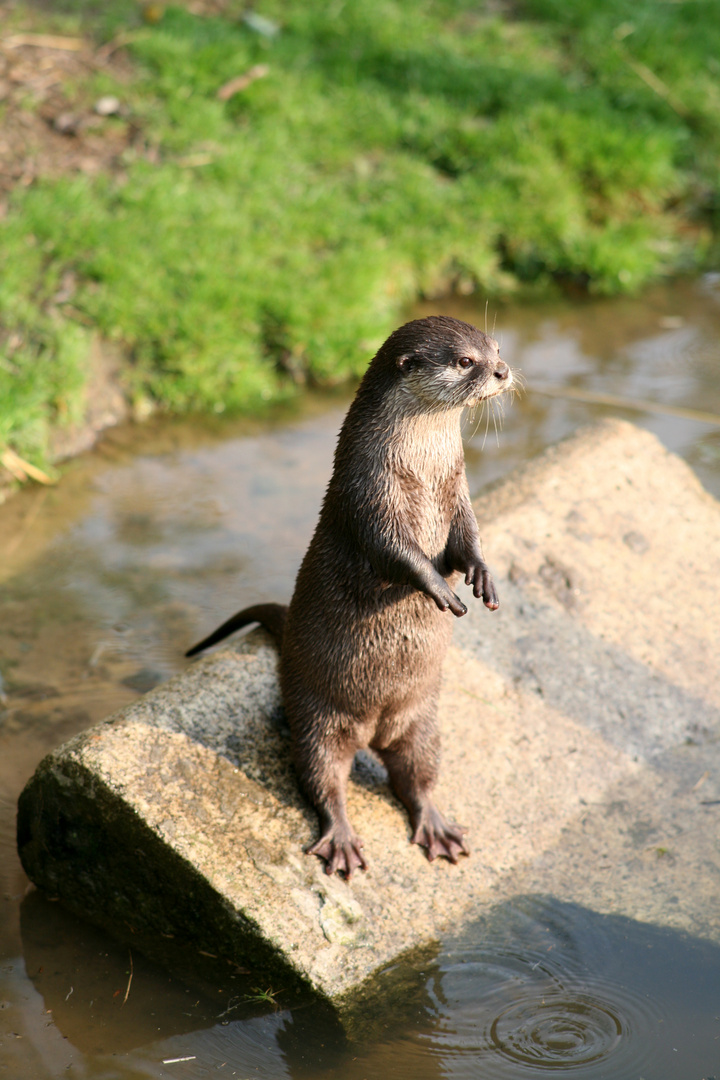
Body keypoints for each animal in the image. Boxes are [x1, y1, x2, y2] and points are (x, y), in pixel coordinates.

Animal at [185, 315, 511, 876]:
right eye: (466, 360)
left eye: (493, 346)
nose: (503, 370)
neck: (420, 470)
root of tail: (371, 731)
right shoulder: (368, 495)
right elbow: (395, 554)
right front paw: (440, 591)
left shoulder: (457, 489)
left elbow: (468, 536)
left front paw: (483, 576)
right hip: (315, 716)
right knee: (324, 781)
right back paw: (341, 840)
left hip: (422, 722)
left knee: (417, 777)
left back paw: (437, 828)